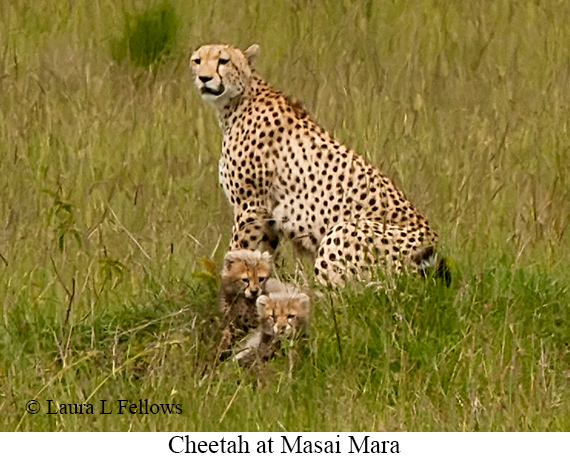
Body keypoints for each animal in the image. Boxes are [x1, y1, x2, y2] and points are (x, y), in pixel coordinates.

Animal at [189, 43, 446, 284]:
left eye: (223, 61)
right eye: (197, 61)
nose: (204, 78)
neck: (238, 101)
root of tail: (435, 247)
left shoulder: (251, 207)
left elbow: (237, 252)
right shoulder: (267, 216)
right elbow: (261, 256)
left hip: (343, 231)